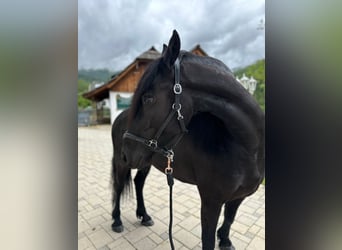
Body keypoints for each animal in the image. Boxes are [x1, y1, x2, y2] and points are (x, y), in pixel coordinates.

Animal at [121, 30, 266, 249]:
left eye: (148, 98)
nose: (126, 153)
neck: (246, 147)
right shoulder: (210, 202)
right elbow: (208, 240)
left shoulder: (239, 196)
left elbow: (230, 218)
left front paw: (225, 240)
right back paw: (116, 221)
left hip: (145, 162)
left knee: (138, 183)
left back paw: (144, 216)